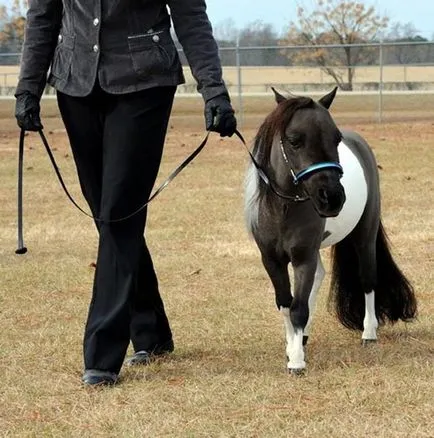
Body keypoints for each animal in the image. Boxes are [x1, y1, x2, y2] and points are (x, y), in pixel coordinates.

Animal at [244, 88, 418, 372]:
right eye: (294, 140)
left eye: (336, 139)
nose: (333, 198)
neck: (284, 208)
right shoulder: (271, 259)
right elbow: (286, 304)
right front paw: (292, 347)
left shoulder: (303, 257)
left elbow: (298, 307)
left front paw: (297, 361)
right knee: (319, 277)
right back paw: (303, 336)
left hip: (364, 235)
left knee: (367, 279)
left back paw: (368, 333)